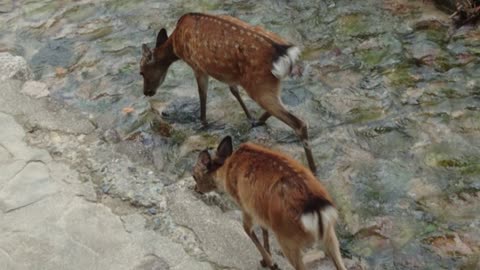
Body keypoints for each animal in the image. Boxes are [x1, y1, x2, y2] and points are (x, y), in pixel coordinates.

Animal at [139, 12, 318, 172]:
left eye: (141, 71)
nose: (146, 92)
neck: (176, 45)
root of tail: (285, 54)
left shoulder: (197, 65)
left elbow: (202, 95)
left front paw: (203, 123)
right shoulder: (230, 76)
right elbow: (234, 91)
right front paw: (249, 117)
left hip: (259, 85)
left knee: (299, 123)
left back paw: (313, 169)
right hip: (268, 85)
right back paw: (258, 121)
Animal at [191, 137, 344, 270]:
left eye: (194, 175)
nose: (196, 189)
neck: (225, 170)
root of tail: (315, 208)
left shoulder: (244, 203)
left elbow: (247, 229)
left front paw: (270, 262)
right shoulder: (258, 207)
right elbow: (264, 229)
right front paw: (267, 261)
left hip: (287, 238)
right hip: (330, 234)